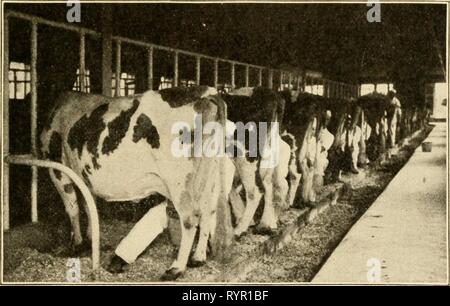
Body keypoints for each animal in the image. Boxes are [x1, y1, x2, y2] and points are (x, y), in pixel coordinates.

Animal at [39, 85, 232, 280]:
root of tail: (206, 92)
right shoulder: (86, 176)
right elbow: (89, 206)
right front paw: (90, 239)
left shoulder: (57, 168)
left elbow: (72, 208)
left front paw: (77, 245)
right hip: (210, 175)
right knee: (209, 211)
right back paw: (198, 258)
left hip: (178, 181)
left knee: (190, 218)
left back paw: (175, 269)